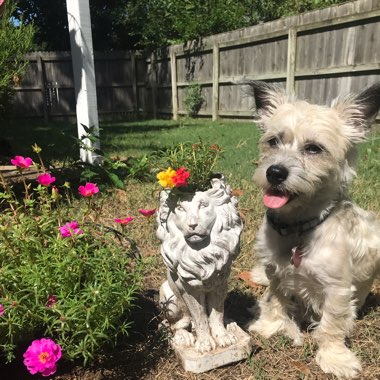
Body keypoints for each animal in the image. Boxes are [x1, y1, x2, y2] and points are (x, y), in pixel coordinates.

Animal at [245, 81, 378, 378]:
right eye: (273, 141)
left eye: (314, 148)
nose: (275, 172)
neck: (298, 228)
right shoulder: (276, 273)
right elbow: (275, 301)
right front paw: (269, 326)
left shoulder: (337, 290)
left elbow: (331, 326)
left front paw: (335, 358)